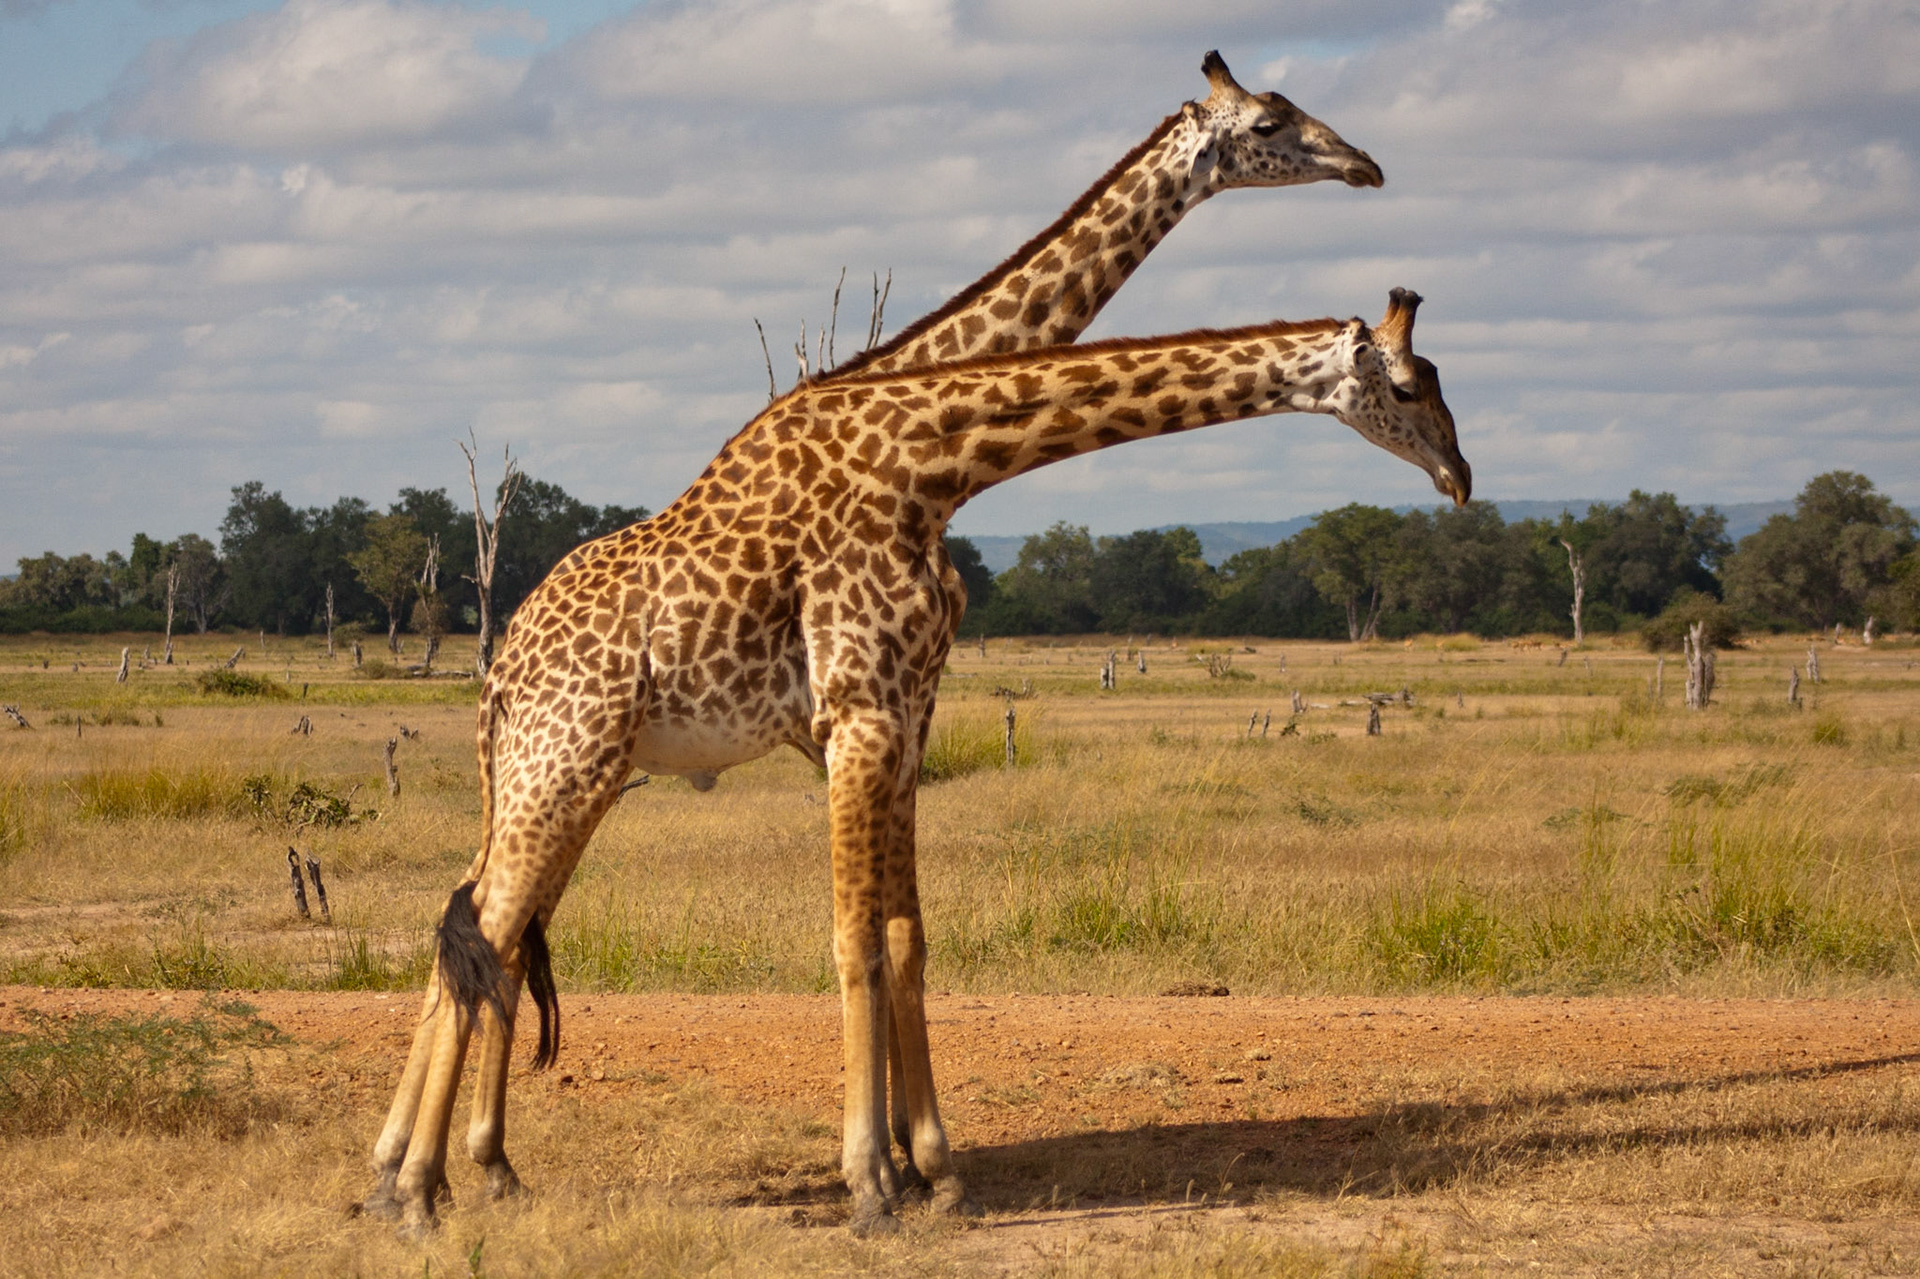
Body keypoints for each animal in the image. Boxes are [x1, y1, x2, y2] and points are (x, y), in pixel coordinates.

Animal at [361, 288, 1468, 1236]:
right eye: (1413, 385)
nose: (1461, 478)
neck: (930, 457)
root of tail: (501, 669)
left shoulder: (901, 723)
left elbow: (905, 938)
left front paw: (926, 1169)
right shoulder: (862, 717)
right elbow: (856, 941)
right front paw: (874, 1186)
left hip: (556, 776)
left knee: (480, 929)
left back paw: (432, 1177)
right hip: (566, 763)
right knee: (485, 932)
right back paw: (416, 1190)